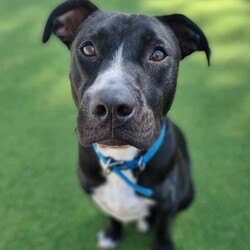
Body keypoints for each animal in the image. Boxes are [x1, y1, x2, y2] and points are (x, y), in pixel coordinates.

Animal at [43, 0, 211, 249]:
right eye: (88, 49)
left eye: (158, 54)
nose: (112, 105)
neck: (120, 160)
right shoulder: (102, 198)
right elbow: (113, 217)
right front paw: (113, 234)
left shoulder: (168, 203)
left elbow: (164, 226)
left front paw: (162, 243)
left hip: (188, 193)